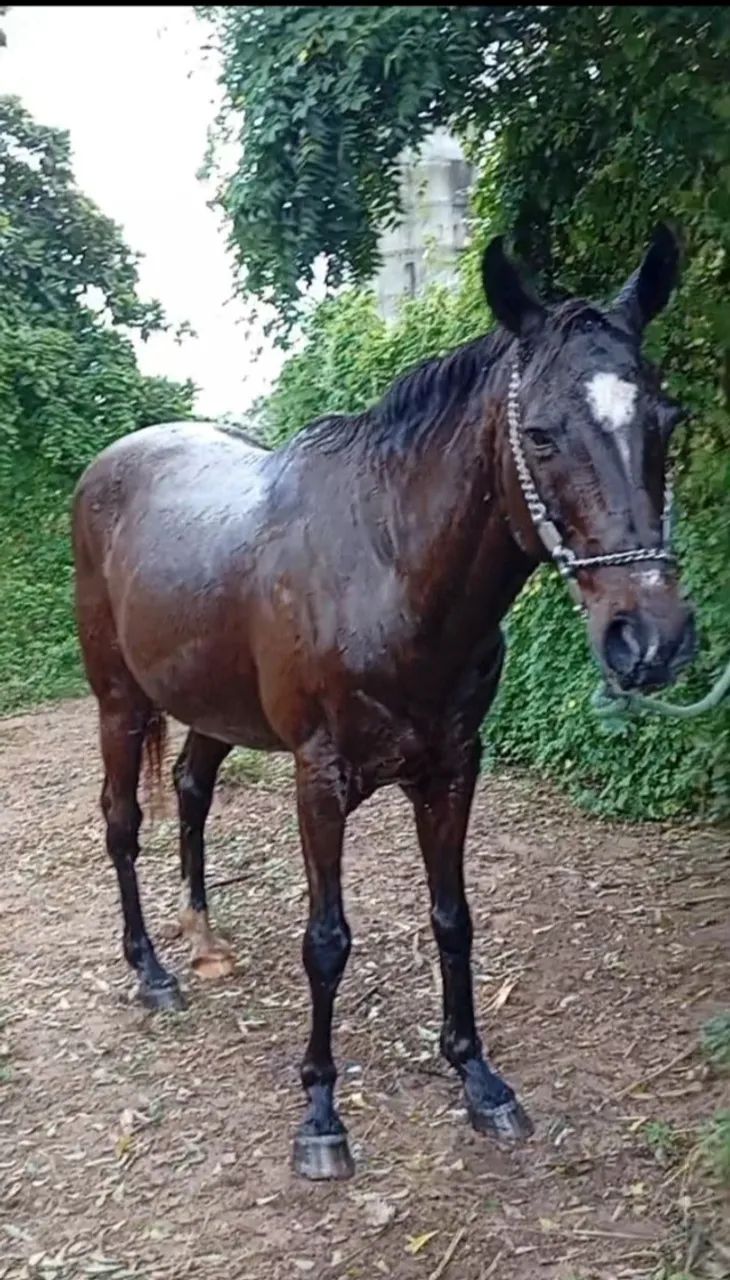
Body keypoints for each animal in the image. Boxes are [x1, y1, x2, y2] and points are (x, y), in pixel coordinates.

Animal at [72, 225, 695, 1180]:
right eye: (541, 434)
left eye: (666, 419)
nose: (651, 640)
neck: (387, 569)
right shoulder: (320, 780)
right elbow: (326, 940)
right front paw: (321, 1115)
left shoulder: (452, 769)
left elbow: (453, 919)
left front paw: (479, 1080)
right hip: (118, 702)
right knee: (122, 823)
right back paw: (151, 972)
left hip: (214, 713)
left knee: (190, 791)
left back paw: (205, 942)